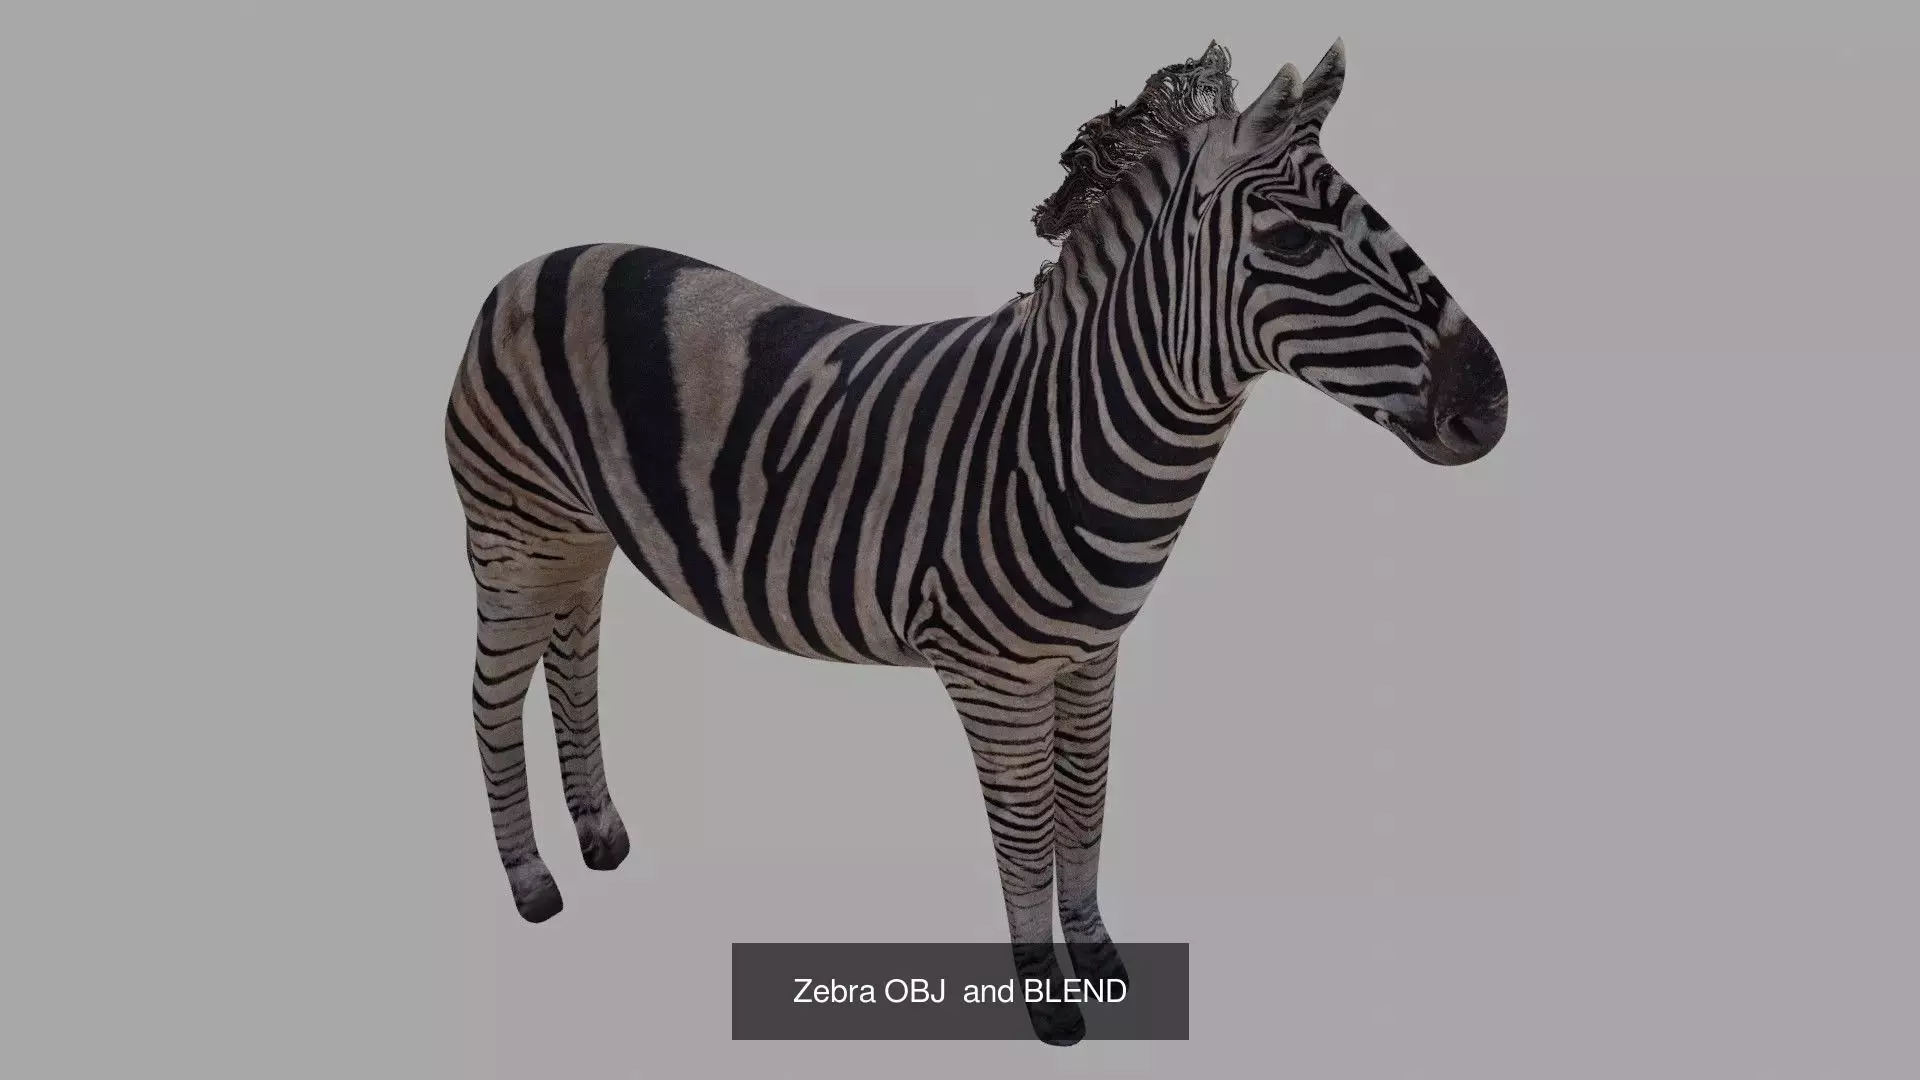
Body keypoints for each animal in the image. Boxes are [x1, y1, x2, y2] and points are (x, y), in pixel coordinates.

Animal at [444, 38, 1507, 1046]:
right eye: (1291, 238)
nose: (1490, 406)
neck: (1061, 431)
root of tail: (533, 264)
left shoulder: (1091, 655)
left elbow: (1087, 803)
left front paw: (1101, 958)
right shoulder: (992, 673)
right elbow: (1027, 832)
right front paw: (1048, 1003)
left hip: (579, 539)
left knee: (572, 663)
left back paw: (601, 834)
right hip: (512, 532)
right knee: (492, 697)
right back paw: (533, 882)